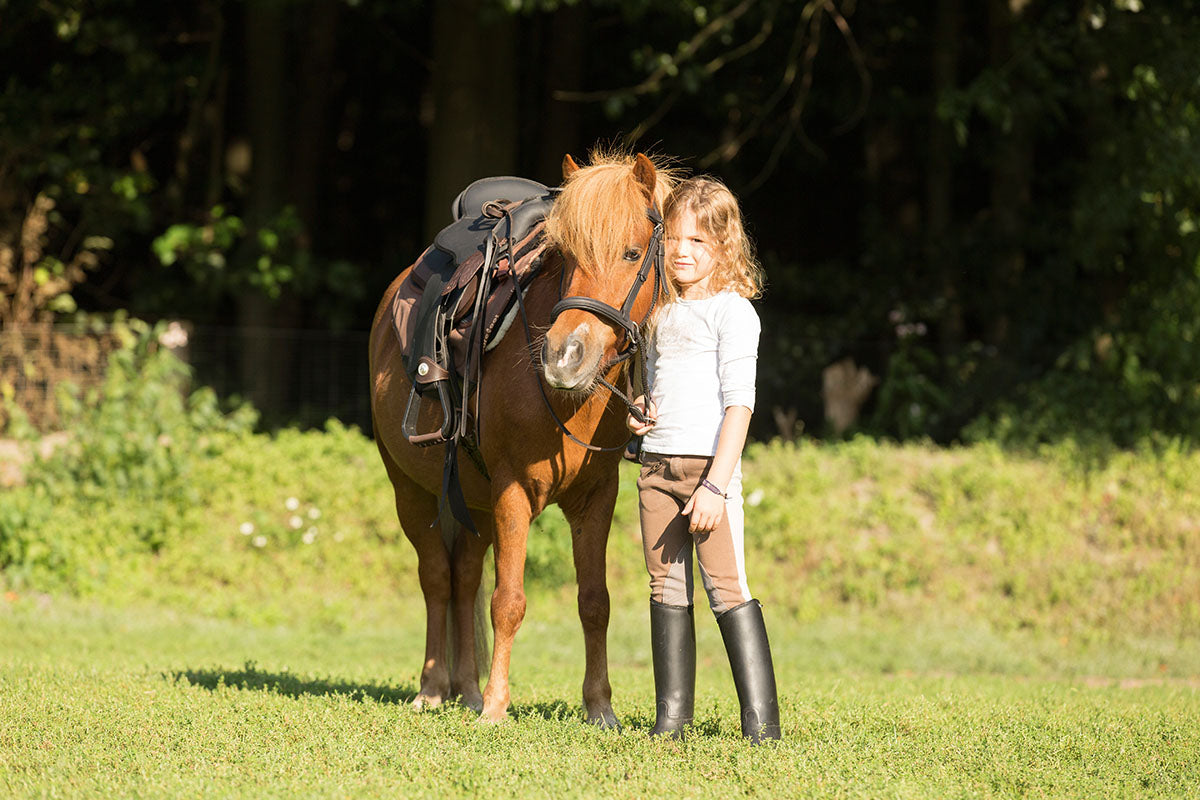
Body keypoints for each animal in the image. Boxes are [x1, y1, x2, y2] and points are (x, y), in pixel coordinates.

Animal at [369, 151, 676, 724]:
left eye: (631, 253)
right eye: (568, 254)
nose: (564, 356)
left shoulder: (595, 499)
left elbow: (594, 601)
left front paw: (599, 706)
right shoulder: (512, 492)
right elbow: (508, 601)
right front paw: (496, 705)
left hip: (473, 502)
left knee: (464, 576)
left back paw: (465, 687)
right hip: (412, 493)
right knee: (437, 578)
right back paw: (434, 687)